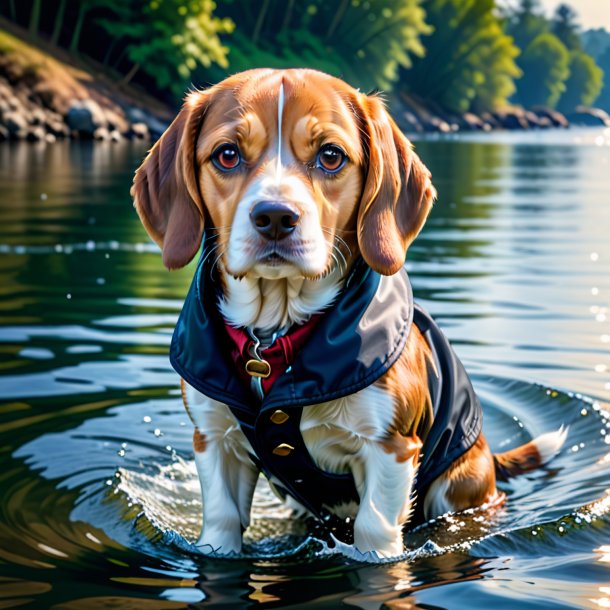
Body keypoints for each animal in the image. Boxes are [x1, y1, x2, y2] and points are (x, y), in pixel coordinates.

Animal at [132, 67, 564, 556]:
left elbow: (374, 532)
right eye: (227, 155)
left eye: (331, 156)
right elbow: (221, 525)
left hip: (456, 482)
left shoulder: (390, 447)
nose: (275, 216)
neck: (274, 335)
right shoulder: (214, 439)